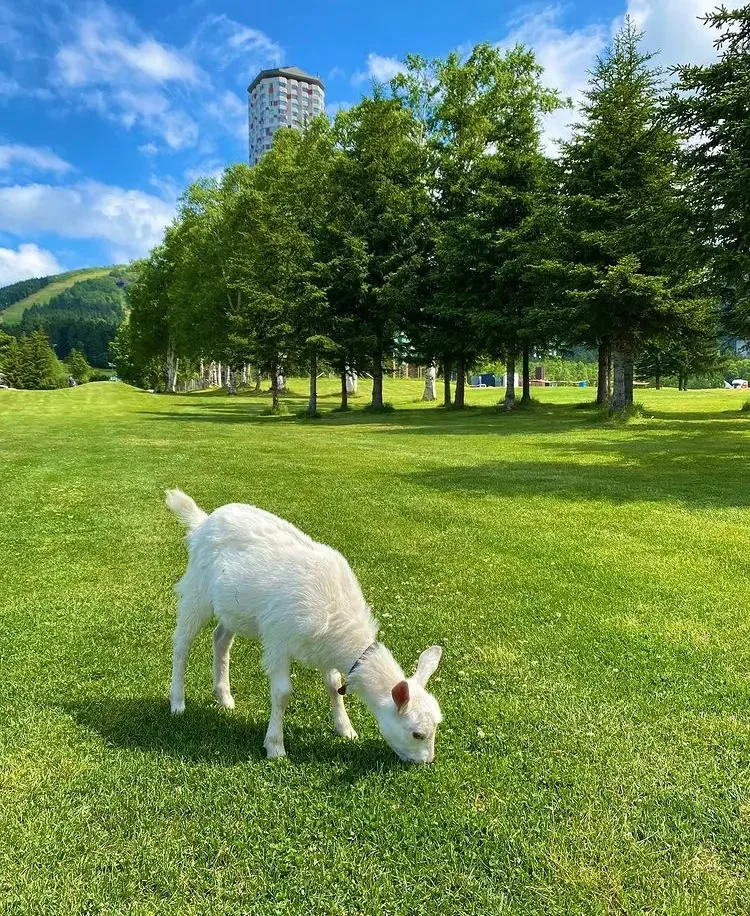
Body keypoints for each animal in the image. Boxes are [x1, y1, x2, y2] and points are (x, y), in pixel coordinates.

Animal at [167, 490, 444, 764]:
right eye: (417, 734)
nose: (427, 762)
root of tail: (202, 521)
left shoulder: (325, 650)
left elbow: (334, 685)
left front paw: (345, 729)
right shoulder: (277, 639)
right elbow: (282, 693)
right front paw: (275, 746)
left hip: (232, 608)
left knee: (221, 639)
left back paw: (224, 697)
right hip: (197, 590)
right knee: (182, 643)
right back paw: (177, 702)